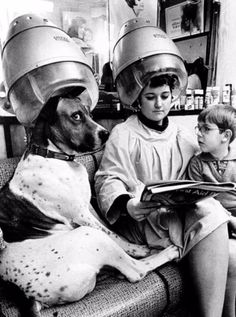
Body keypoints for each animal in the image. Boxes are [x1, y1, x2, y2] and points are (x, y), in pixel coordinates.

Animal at [0, 89, 179, 316]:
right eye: (76, 116)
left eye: (90, 114)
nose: (106, 134)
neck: (54, 156)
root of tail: (27, 295)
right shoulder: (82, 215)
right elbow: (115, 237)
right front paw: (137, 249)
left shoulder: (89, 208)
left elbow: (112, 230)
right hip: (89, 236)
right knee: (135, 270)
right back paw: (165, 251)